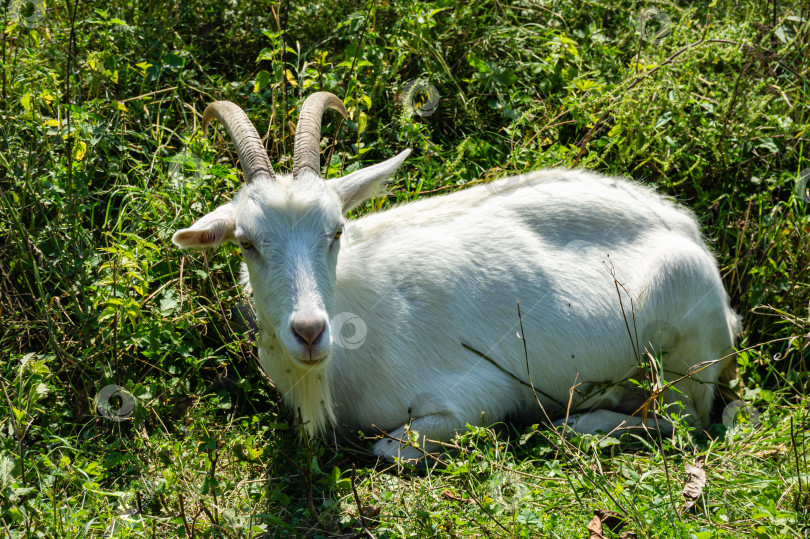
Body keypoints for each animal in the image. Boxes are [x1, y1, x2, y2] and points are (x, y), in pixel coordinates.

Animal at [172, 92, 740, 460]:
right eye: (246, 241)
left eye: (335, 230)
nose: (310, 332)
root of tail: (685, 229)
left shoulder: (477, 395)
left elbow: (390, 447)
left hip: (684, 356)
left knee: (686, 422)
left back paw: (584, 423)